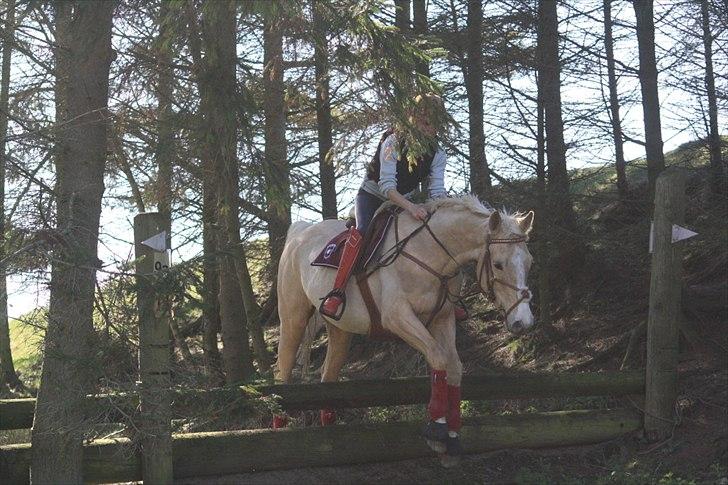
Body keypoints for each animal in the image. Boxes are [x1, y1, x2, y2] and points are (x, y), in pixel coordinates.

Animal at [272, 194, 536, 458]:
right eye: (499, 265)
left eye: (530, 263)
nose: (523, 322)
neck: (431, 254)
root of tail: (300, 231)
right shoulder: (397, 317)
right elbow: (438, 356)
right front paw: (437, 428)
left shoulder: (443, 318)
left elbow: (453, 367)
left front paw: (451, 435)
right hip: (293, 318)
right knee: (282, 371)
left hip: (340, 328)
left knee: (328, 376)